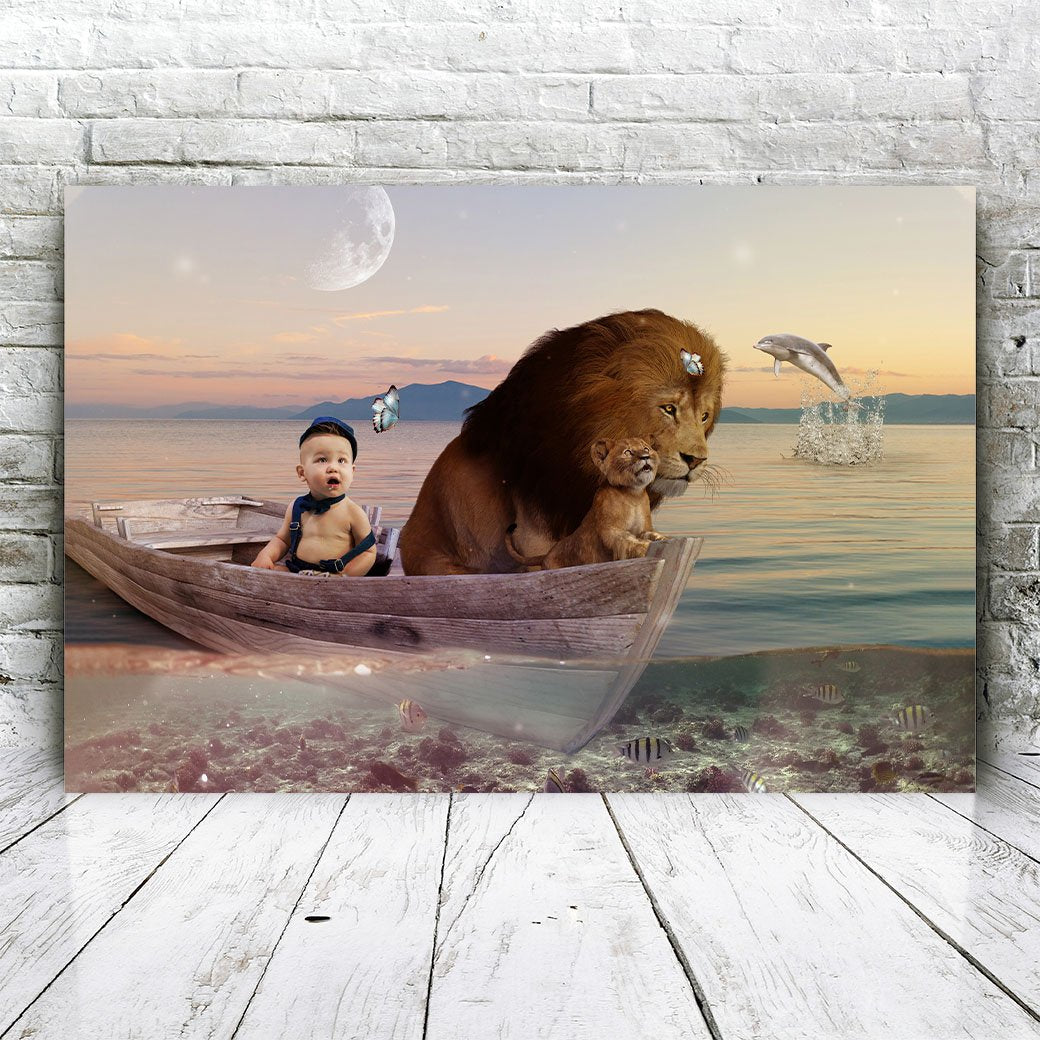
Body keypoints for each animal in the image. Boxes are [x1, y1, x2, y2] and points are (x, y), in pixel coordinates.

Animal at [504, 438, 666, 570]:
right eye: (628, 452)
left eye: (646, 449)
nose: (645, 457)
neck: (633, 495)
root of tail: (548, 553)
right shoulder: (611, 531)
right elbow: (628, 541)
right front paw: (644, 547)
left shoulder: (643, 528)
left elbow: (649, 533)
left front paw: (662, 538)